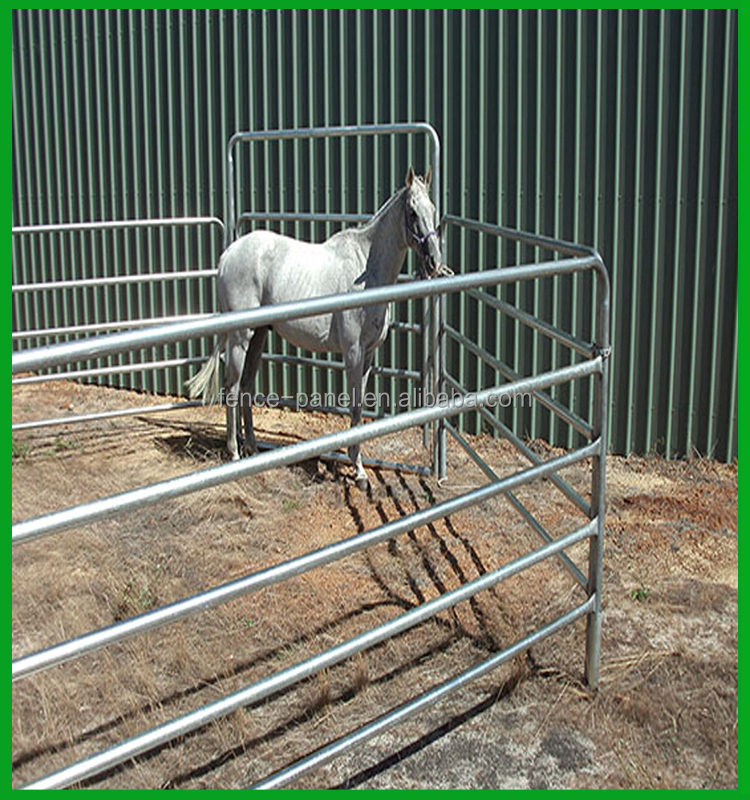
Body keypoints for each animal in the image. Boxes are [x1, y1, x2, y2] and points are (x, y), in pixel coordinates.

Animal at [189, 167, 446, 488]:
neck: (366, 269)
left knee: (246, 386)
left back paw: (252, 449)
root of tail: (228, 255)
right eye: (412, 212)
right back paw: (235, 454)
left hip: (259, 335)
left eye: (433, 209)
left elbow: (361, 404)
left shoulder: (368, 355)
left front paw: (358, 467)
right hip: (240, 337)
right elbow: (355, 405)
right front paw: (359, 471)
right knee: (233, 387)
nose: (435, 262)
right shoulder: (353, 353)